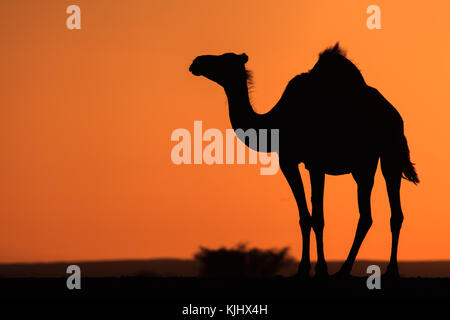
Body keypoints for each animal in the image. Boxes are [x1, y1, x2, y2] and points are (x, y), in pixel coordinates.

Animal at [189, 43, 418, 278]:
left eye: (223, 60)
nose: (196, 62)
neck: (276, 121)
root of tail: (396, 117)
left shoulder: (310, 163)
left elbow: (317, 217)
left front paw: (320, 269)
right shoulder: (293, 162)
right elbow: (305, 217)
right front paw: (303, 269)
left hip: (381, 157)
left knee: (374, 214)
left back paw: (353, 270)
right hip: (373, 161)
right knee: (387, 214)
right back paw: (383, 270)